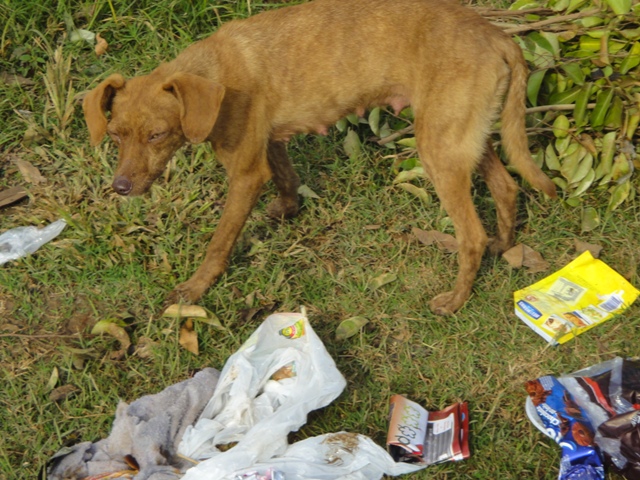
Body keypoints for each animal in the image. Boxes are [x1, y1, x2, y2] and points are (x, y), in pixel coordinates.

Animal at [83, 0, 556, 315]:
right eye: (116, 135)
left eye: (157, 135)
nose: (120, 188)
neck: (211, 72)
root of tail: (497, 35)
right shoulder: (270, 142)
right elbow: (287, 179)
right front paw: (285, 211)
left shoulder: (245, 172)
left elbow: (219, 243)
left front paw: (195, 290)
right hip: (466, 138)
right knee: (506, 187)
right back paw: (504, 246)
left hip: (438, 147)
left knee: (471, 234)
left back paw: (455, 299)